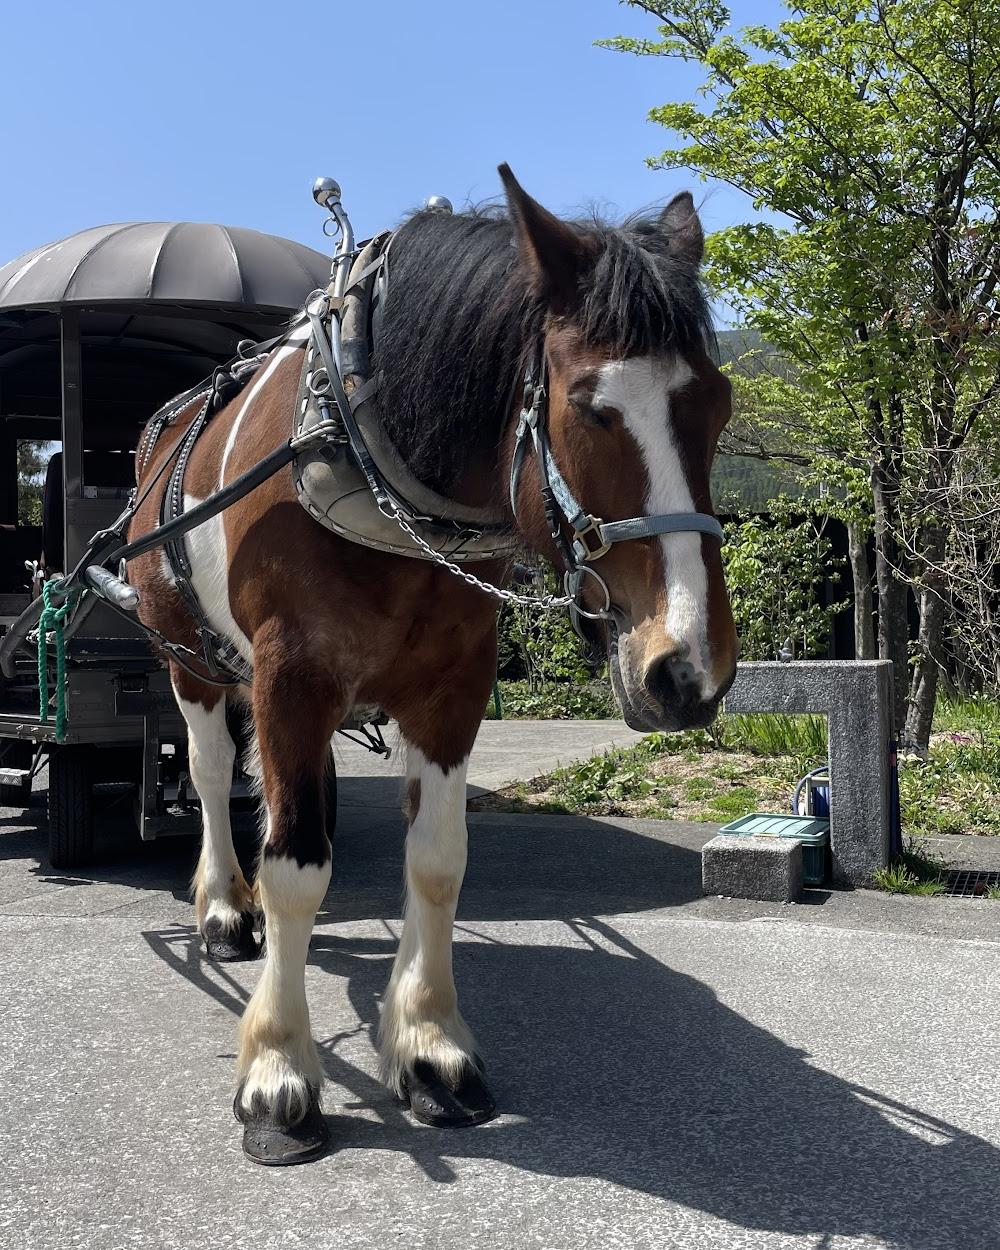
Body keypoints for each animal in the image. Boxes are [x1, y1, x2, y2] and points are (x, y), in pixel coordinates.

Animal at [125, 163, 740, 1160]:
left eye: (717, 406)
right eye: (590, 408)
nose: (689, 668)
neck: (369, 445)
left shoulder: (455, 685)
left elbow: (439, 861)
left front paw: (428, 1046)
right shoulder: (290, 677)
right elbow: (296, 865)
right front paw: (279, 1069)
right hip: (192, 656)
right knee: (216, 775)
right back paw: (223, 906)